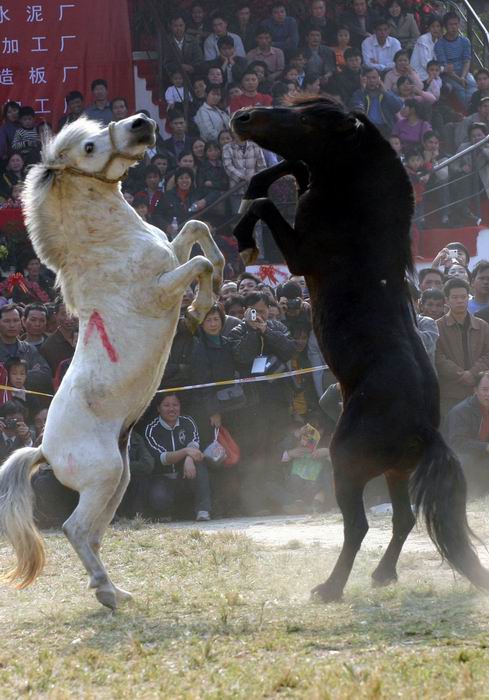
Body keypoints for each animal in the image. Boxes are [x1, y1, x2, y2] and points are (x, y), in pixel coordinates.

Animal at [0, 113, 224, 608]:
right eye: (88, 146)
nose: (142, 123)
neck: (113, 244)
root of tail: (44, 448)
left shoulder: (170, 253)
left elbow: (196, 228)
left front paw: (218, 280)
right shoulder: (162, 288)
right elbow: (198, 265)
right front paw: (200, 310)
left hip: (118, 480)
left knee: (93, 535)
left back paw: (116, 590)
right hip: (103, 476)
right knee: (74, 528)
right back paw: (106, 592)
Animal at [230, 97, 488, 600]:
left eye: (308, 120)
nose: (243, 117)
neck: (357, 208)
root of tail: (425, 429)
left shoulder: (300, 256)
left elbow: (267, 203)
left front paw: (245, 239)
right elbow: (288, 173)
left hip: (346, 461)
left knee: (360, 526)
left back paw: (330, 588)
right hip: (395, 471)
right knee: (404, 519)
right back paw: (382, 574)